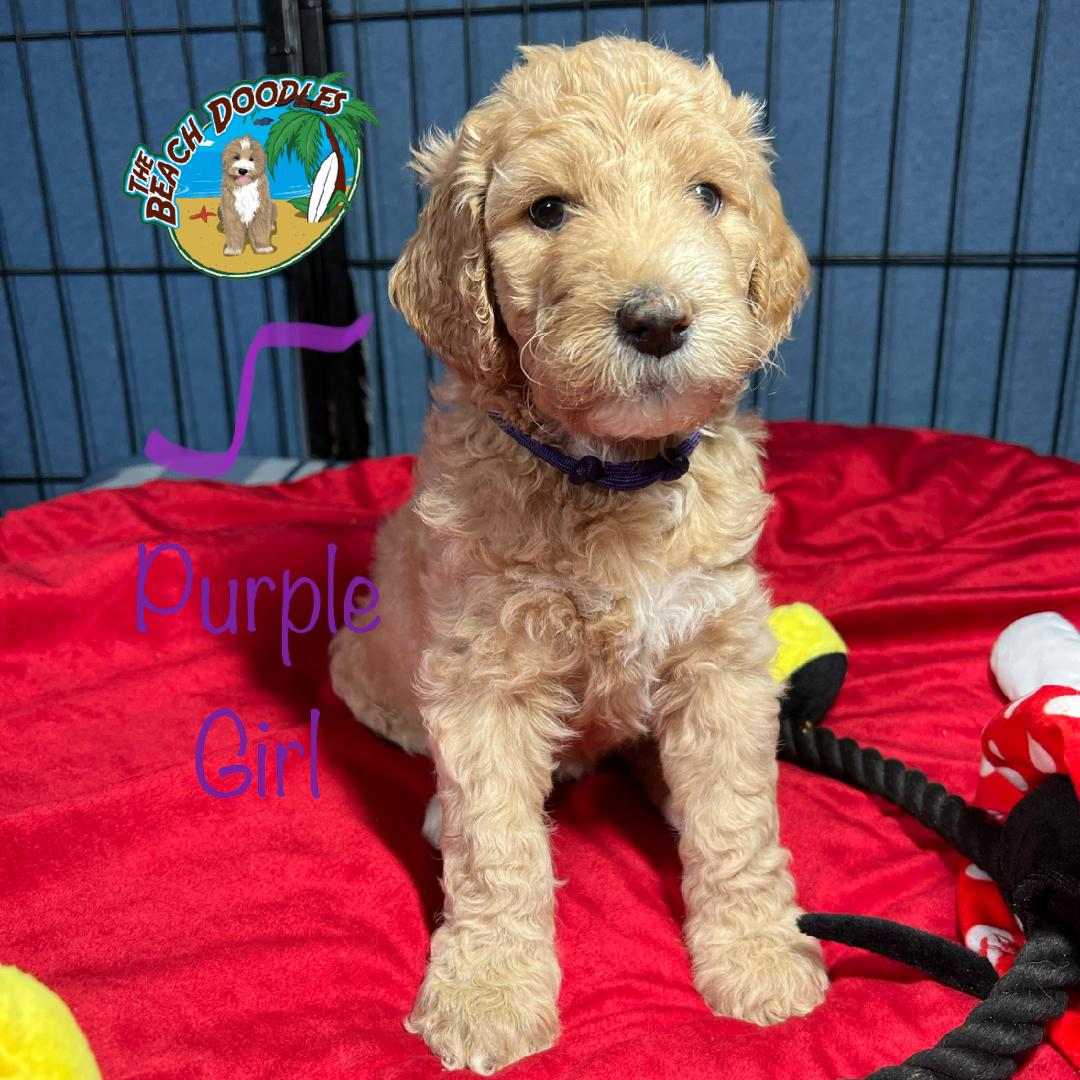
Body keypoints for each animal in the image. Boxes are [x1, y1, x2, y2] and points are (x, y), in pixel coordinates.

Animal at [330, 37, 827, 1074]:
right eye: (549, 210)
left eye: (708, 195)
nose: (657, 321)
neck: (611, 479)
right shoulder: (483, 675)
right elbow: (496, 844)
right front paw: (487, 991)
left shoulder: (719, 654)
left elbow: (737, 816)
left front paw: (757, 953)